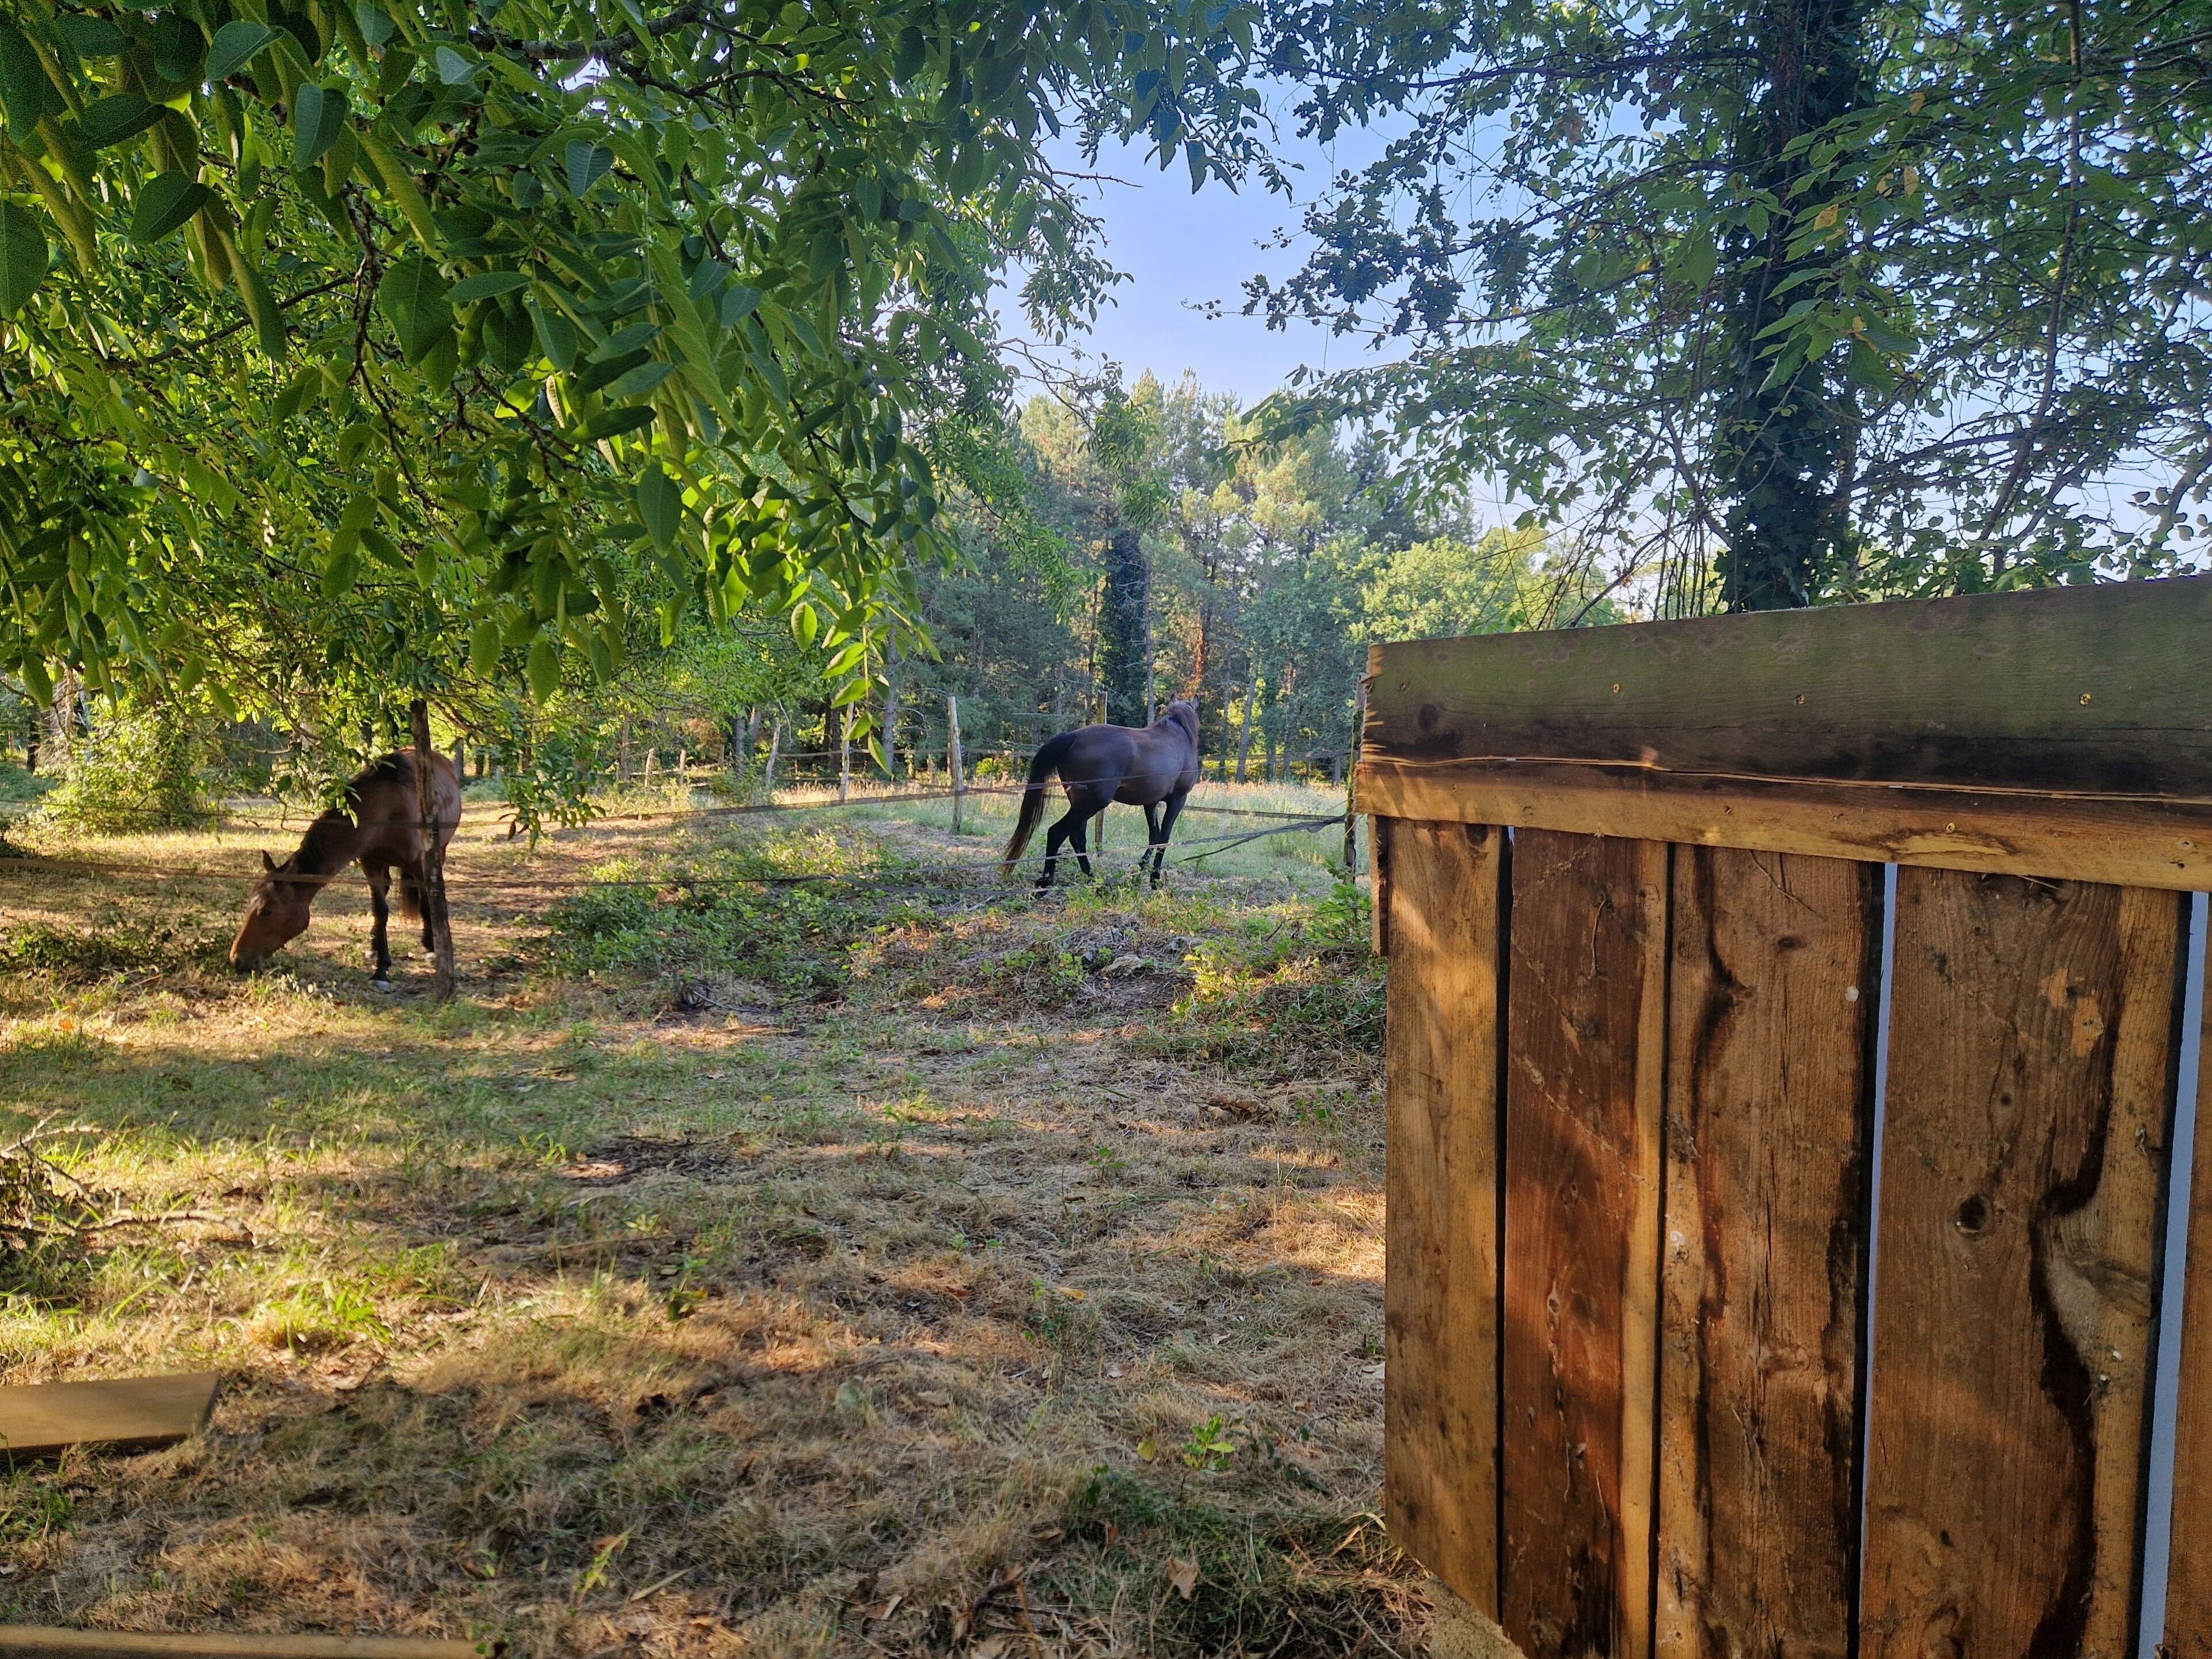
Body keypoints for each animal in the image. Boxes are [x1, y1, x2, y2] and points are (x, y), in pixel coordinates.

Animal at [229, 752, 462, 982]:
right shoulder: (371, 864)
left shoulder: (419, 864)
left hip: (439, 852)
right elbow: (380, 910)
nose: (236, 959)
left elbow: (426, 904)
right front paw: (381, 967)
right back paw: (375, 947)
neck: (387, 808)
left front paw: (432, 951)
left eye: (267, 912)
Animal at [1001, 701, 1200, 889]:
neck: (1178, 736)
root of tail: (1073, 737)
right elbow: (1164, 838)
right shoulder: (1177, 800)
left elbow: (1154, 836)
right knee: (1057, 832)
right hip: (1092, 804)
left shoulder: (1151, 803)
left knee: (1077, 837)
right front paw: (1154, 879)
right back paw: (1047, 882)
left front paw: (1140, 870)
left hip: (1079, 802)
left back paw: (1092, 879)